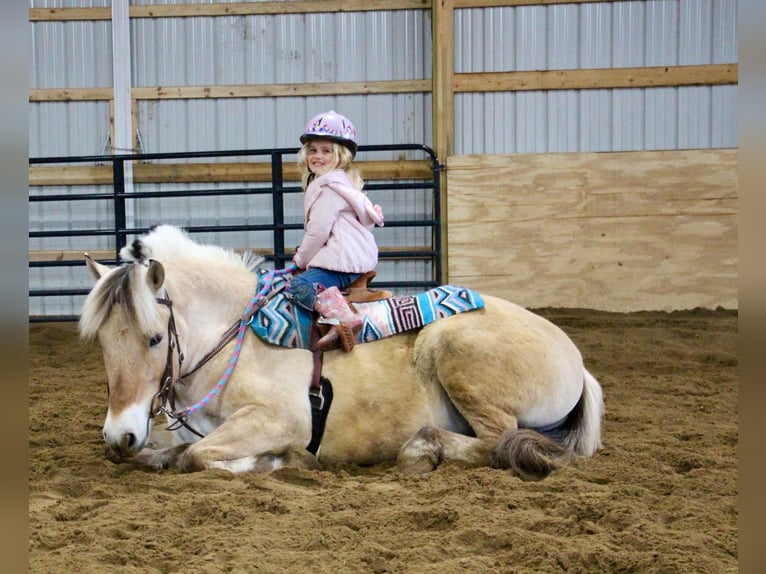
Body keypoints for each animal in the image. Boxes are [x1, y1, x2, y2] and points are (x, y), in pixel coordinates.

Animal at [79, 225, 608, 482]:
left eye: (154, 338)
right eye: (103, 342)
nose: (119, 435)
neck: (234, 337)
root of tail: (578, 363)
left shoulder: (278, 419)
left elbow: (197, 457)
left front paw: (282, 462)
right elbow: (164, 454)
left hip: (457, 353)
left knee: (498, 442)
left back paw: (423, 448)